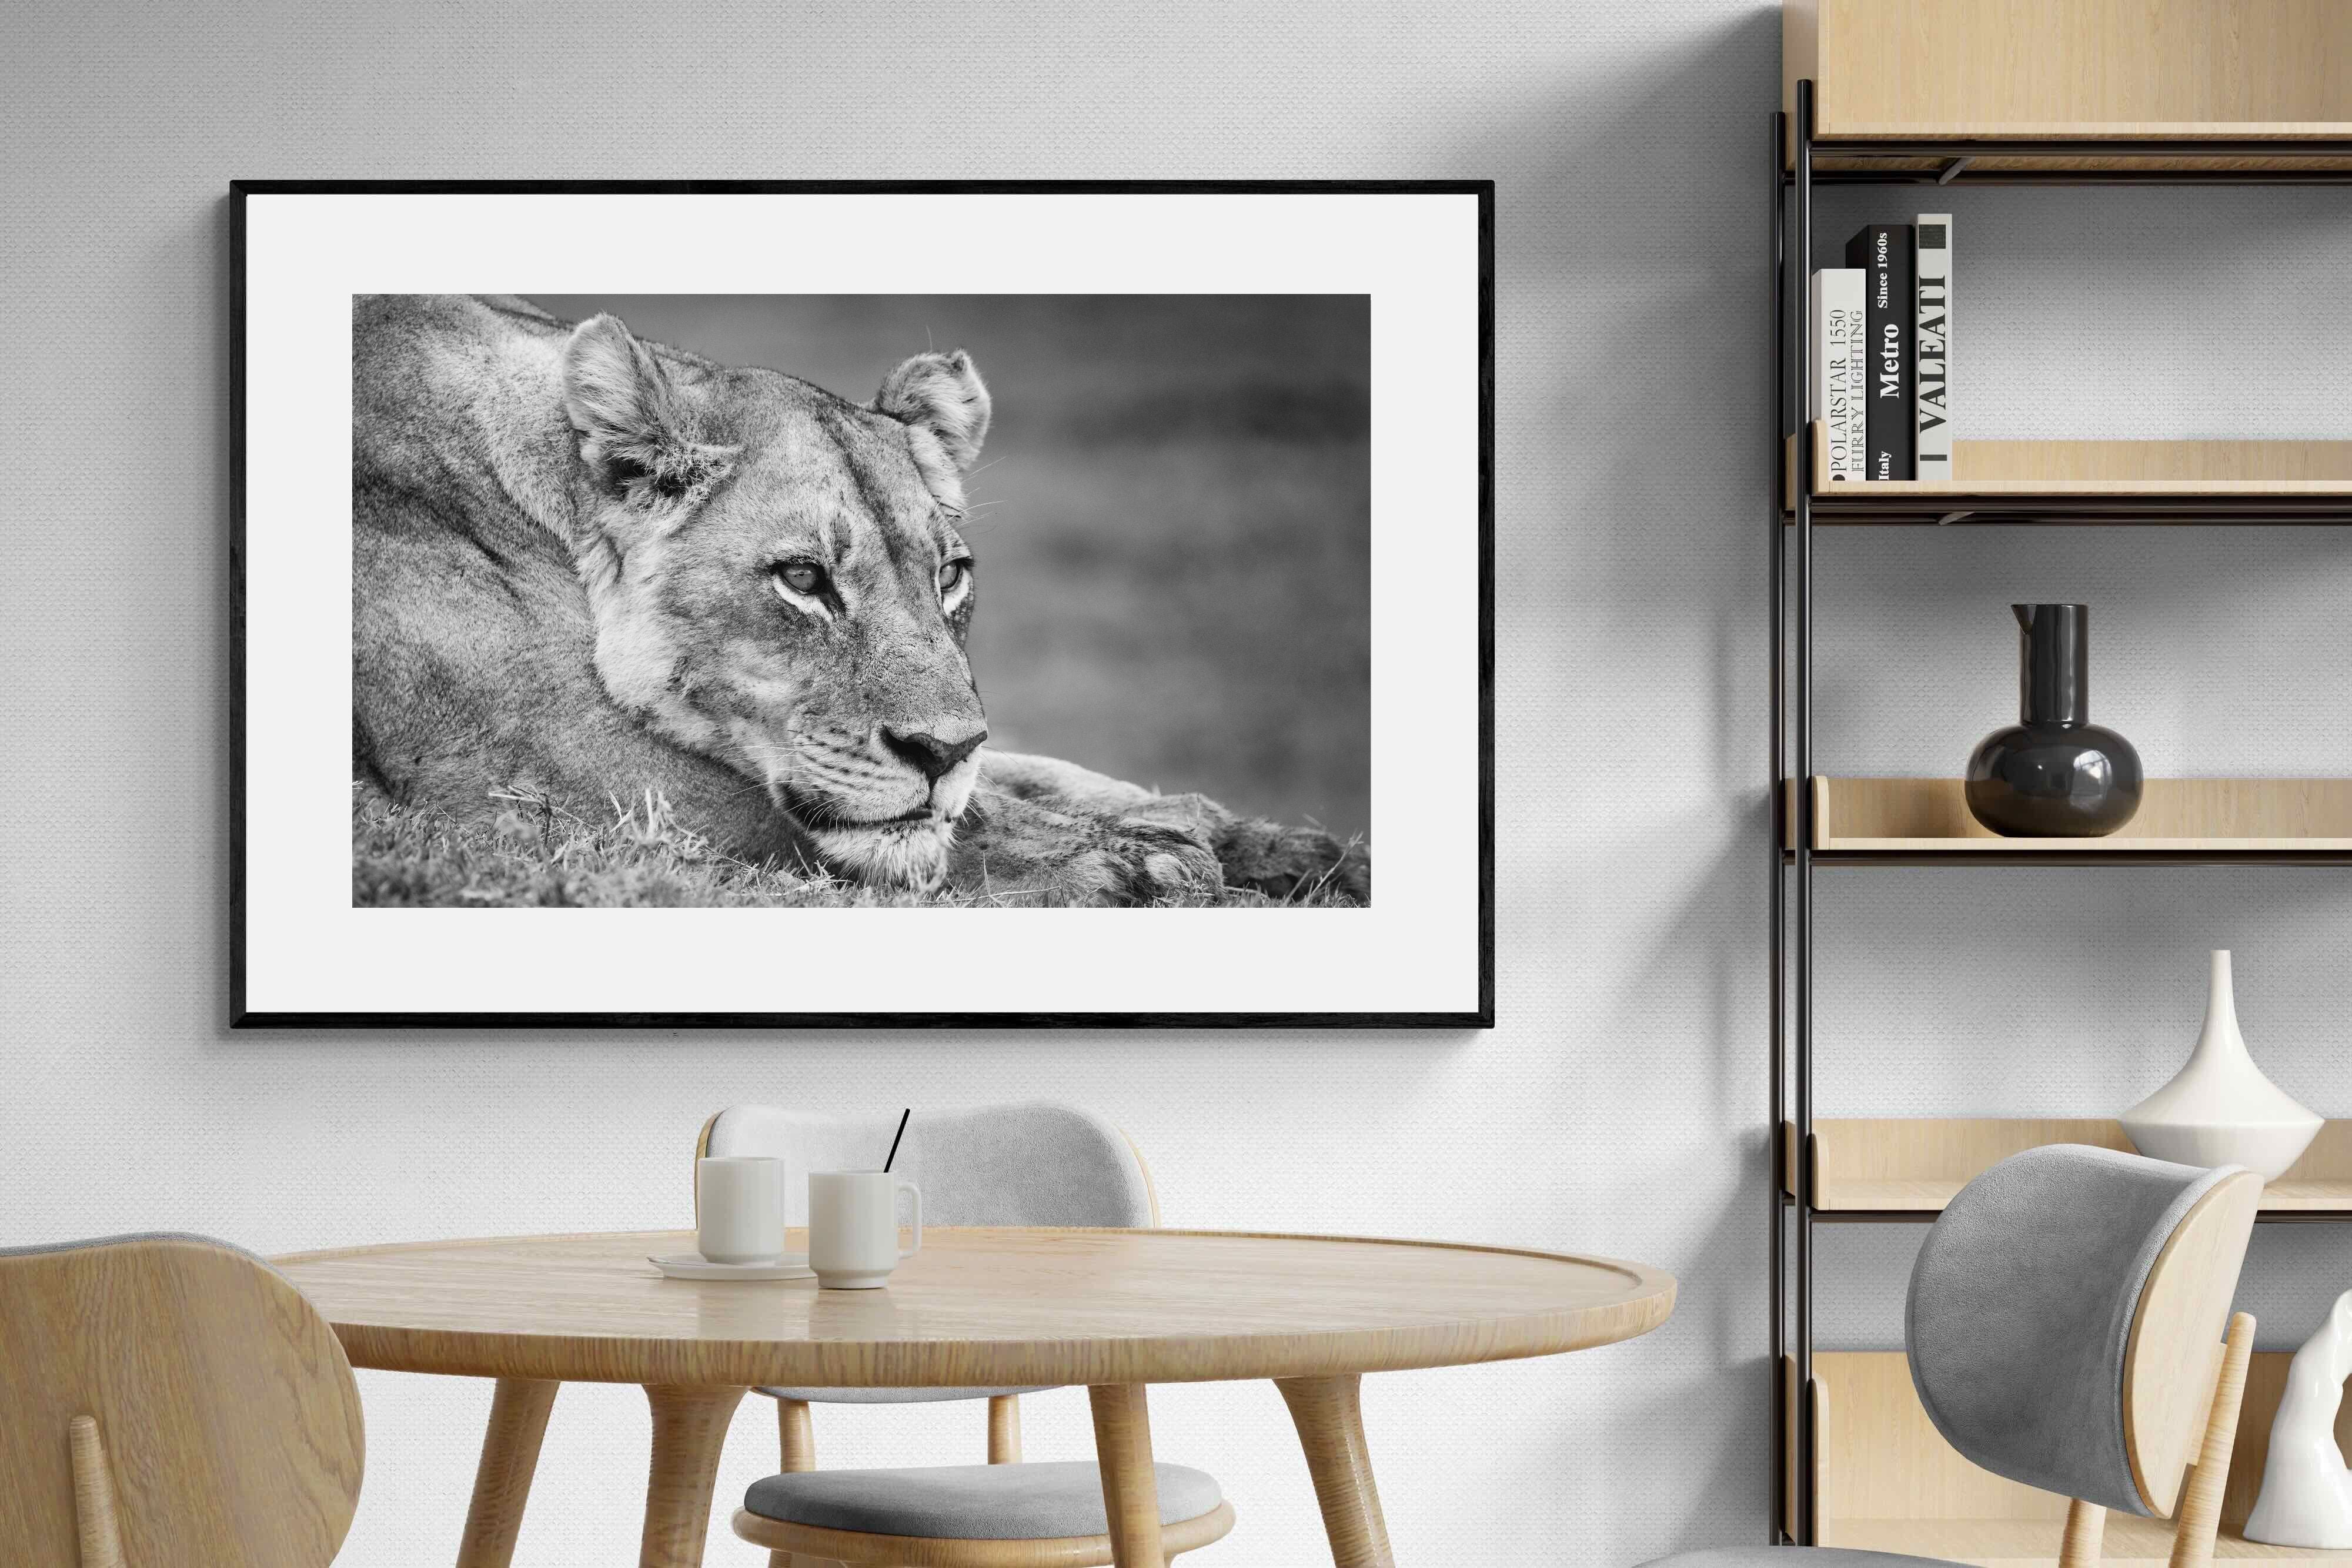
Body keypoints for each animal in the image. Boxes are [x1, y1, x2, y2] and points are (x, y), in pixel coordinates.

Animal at [352, 294, 1368, 906]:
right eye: (803, 579)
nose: (942, 751)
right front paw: (1146, 864)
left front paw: (1297, 851)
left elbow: (1047, 779)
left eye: (949, 574)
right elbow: (943, 822)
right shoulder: (538, 769)